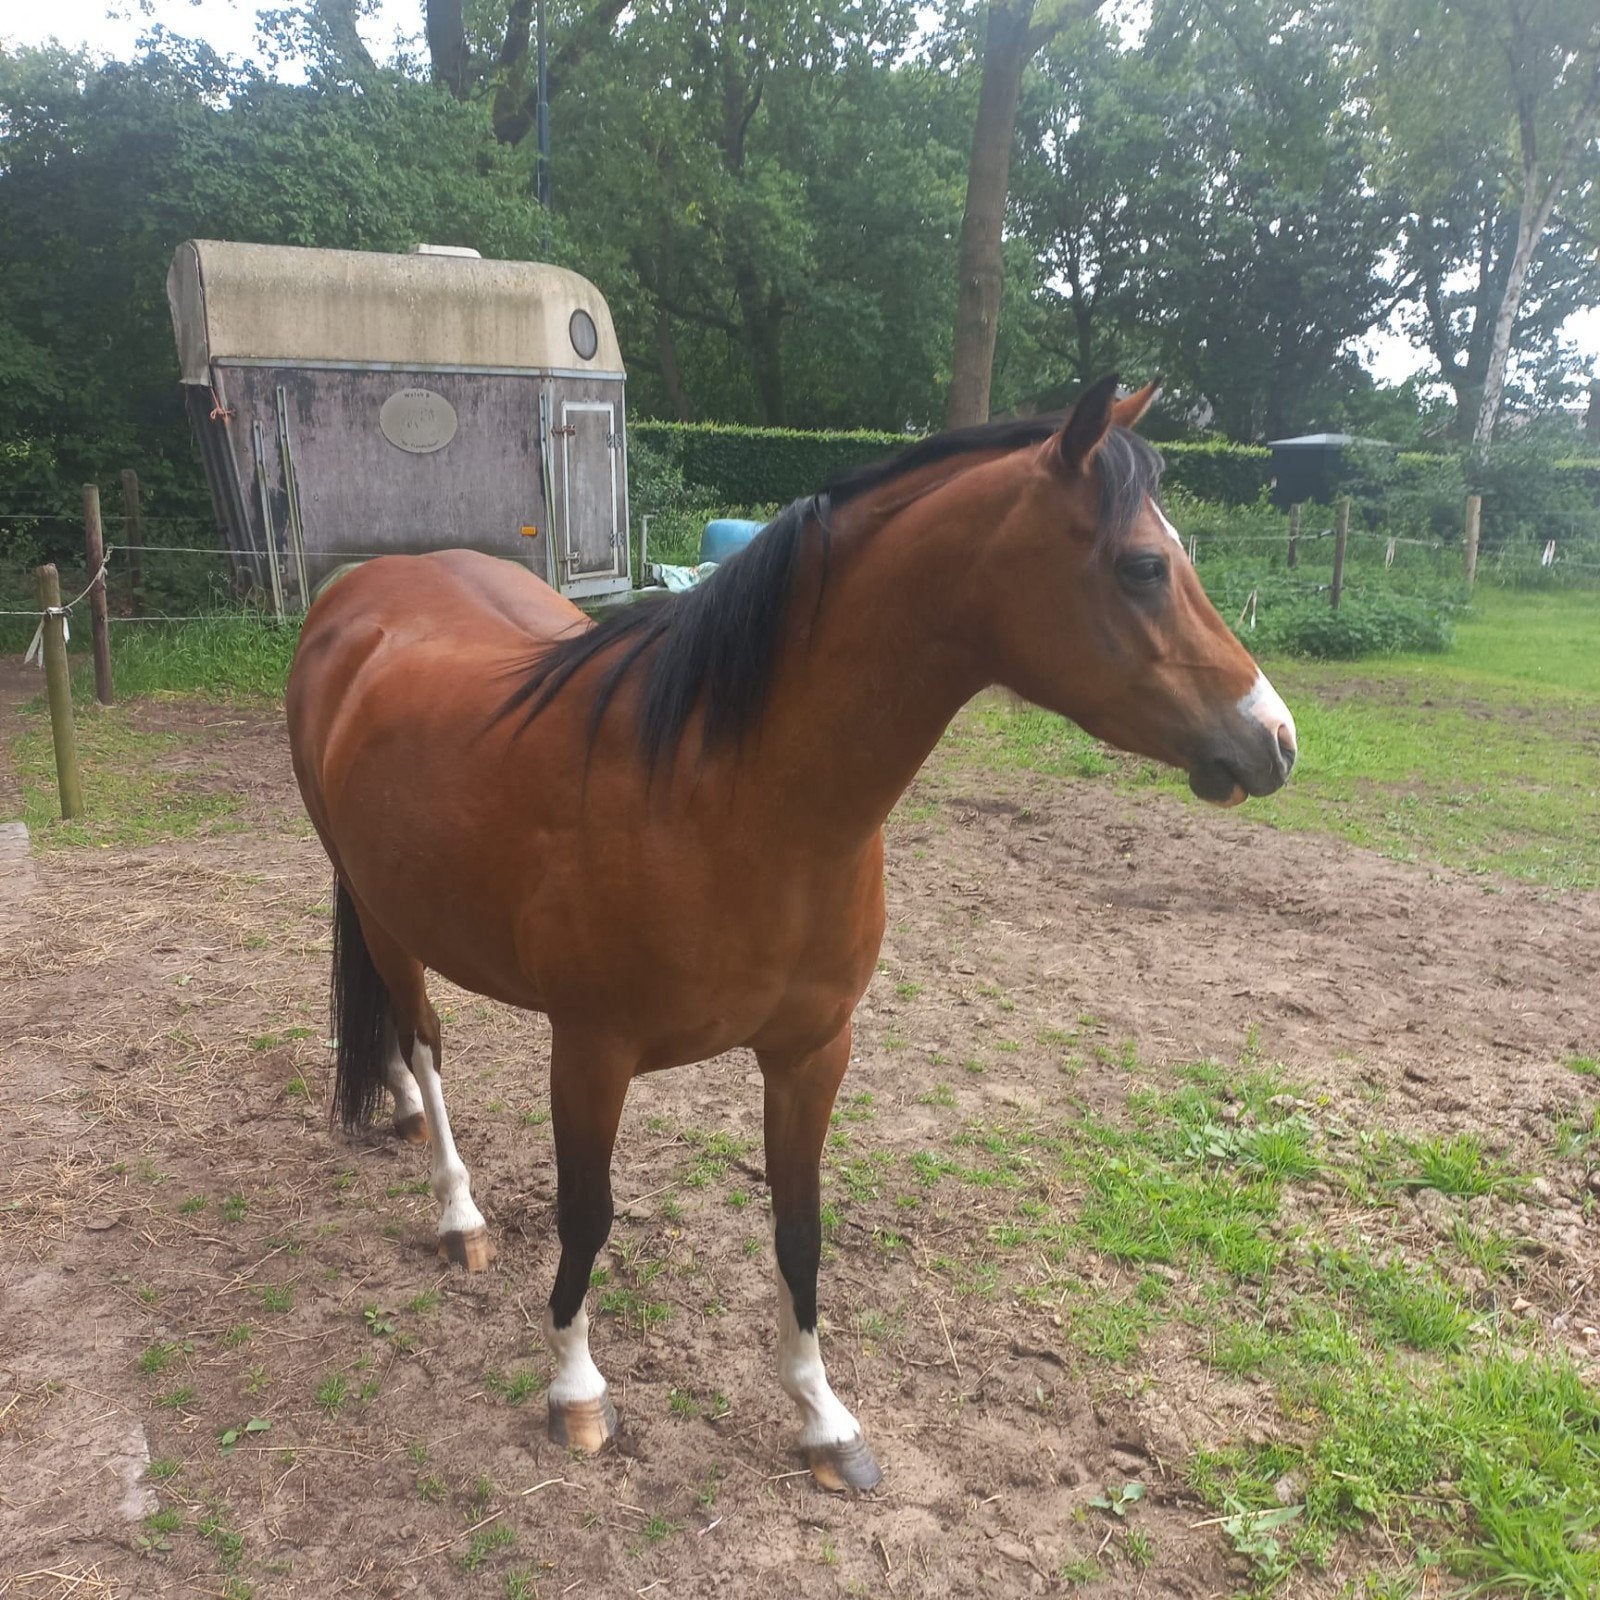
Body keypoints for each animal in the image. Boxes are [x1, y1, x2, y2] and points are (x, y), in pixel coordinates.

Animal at [285, 374, 1296, 1493]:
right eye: (1142, 566)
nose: (1275, 739)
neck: (723, 793)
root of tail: (361, 596)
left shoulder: (812, 1051)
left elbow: (799, 1229)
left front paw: (823, 1418)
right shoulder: (589, 1052)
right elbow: (586, 1214)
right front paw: (576, 1391)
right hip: (385, 915)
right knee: (421, 1038)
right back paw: (457, 1211)